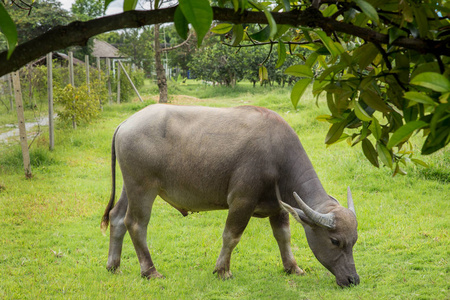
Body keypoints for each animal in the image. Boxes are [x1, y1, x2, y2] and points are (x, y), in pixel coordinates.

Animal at [101, 104, 358, 288]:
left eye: (354, 240)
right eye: (335, 241)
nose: (352, 279)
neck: (277, 155)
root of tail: (126, 123)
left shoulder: (279, 208)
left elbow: (283, 237)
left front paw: (293, 268)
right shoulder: (241, 200)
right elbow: (231, 236)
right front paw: (222, 270)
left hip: (129, 186)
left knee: (117, 217)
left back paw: (113, 265)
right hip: (143, 188)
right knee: (136, 224)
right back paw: (150, 271)